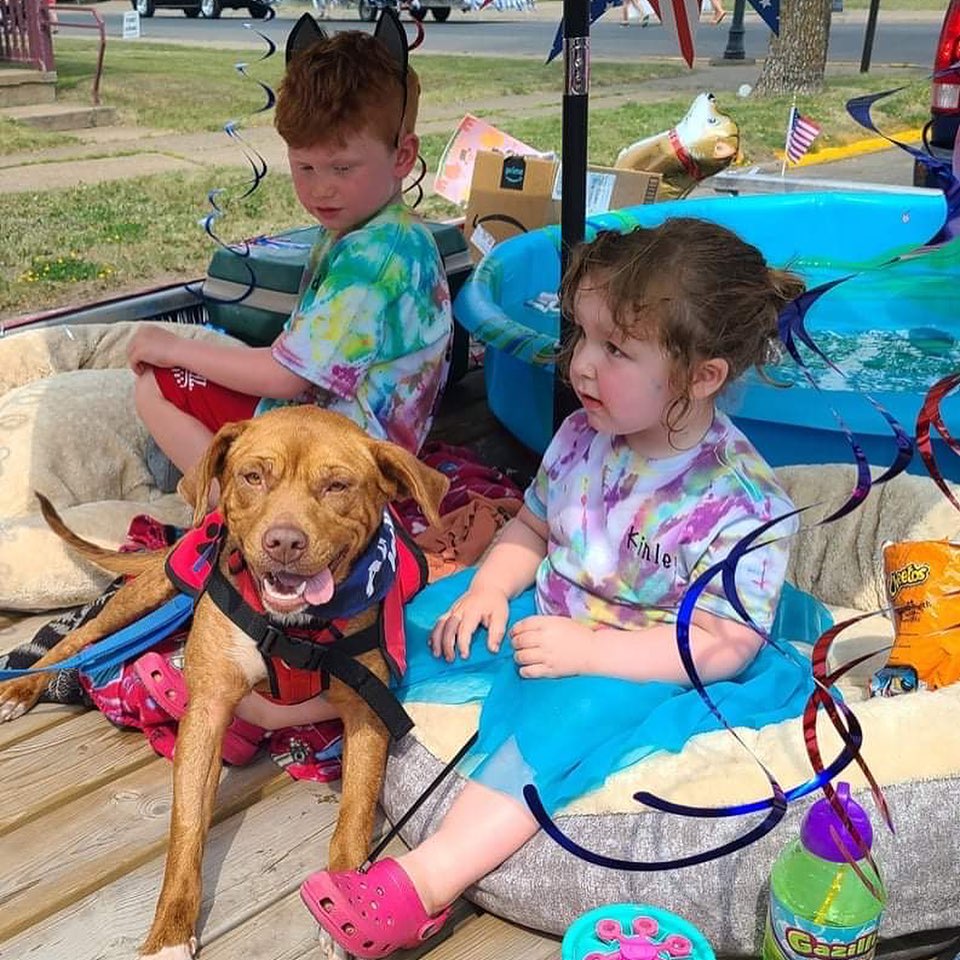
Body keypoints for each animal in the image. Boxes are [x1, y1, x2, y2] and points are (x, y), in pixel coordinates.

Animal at [0, 404, 446, 960]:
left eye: (338, 485)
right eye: (253, 477)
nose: (284, 542)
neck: (291, 630)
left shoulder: (366, 715)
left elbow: (355, 816)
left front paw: (347, 899)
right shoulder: (208, 711)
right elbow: (188, 826)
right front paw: (169, 932)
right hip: (154, 588)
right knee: (81, 638)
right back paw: (23, 687)